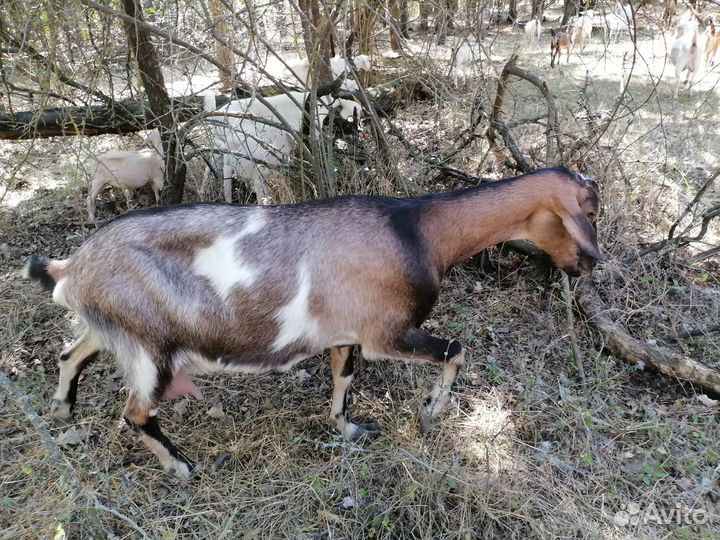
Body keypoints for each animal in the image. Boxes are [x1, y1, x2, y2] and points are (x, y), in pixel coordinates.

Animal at [24, 167, 602, 479]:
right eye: (588, 209)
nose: (589, 264)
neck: (419, 231)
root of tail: (72, 266)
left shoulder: (347, 333)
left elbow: (343, 378)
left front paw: (347, 428)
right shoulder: (386, 333)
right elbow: (455, 349)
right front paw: (430, 412)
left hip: (112, 327)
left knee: (69, 355)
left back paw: (63, 412)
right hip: (150, 346)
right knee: (135, 411)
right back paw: (181, 465)